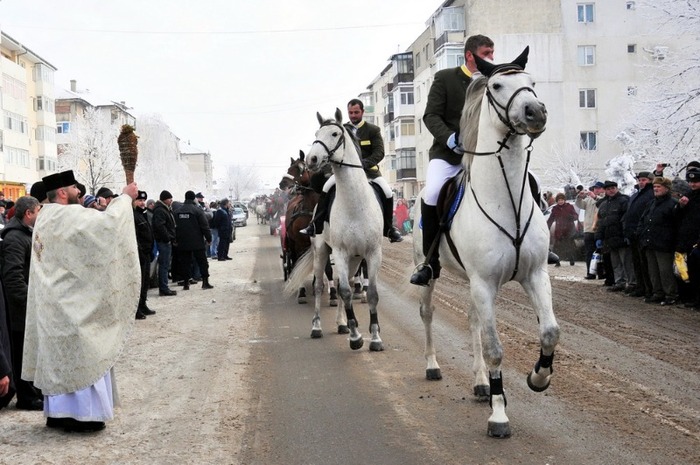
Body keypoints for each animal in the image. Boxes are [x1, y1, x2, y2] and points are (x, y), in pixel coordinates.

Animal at [284, 109, 382, 348]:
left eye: (335, 133)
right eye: (316, 134)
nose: (312, 159)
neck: (355, 205)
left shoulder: (372, 253)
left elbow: (372, 294)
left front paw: (374, 337)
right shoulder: (339, 251)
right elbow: (345, 291)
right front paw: (356, 336)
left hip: (355, 257)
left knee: (341, 282)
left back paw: (341, 323)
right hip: (321, 250)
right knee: (321, 284)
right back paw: (317, 326)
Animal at [412, 48, 560, 438]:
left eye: (532, 82)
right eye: (496, 85)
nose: (536, 112)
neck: (505, 199)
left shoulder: (534, 275)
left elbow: (550, 332)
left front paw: (539, 378)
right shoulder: (484, 282)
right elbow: (495, 349)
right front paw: (499, 415)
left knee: (474, 321)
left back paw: (480, 383)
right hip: (431, 273)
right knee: (428, 313)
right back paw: (433, 366)